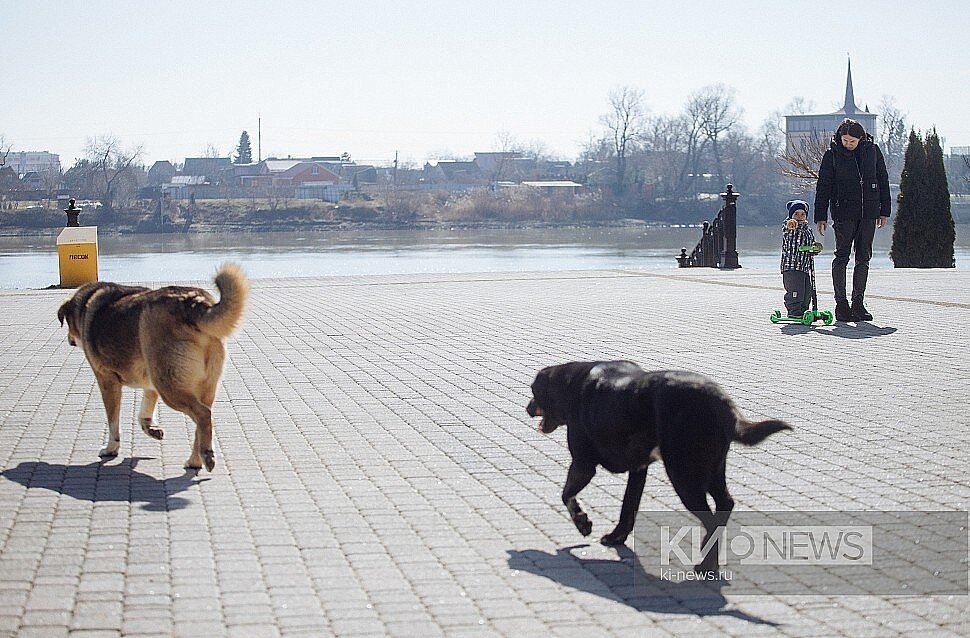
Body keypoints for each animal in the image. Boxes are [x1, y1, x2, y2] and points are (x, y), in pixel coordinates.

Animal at [56, 262, 248, 472]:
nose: (69, 339)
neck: (86, 305)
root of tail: (194, 303)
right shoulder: (150, 385)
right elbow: (144, 414)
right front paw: (152, 429)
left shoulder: (107, 381)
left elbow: (113, 421)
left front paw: (111, 448)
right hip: (198, 386)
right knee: (202, 419)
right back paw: (195, 460)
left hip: (169, 387)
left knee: (204, 415)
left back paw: (206, 455)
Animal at [524, 364, 792, 568]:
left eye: (534, 391)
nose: (527, 407)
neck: (571, 385)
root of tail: (720, 401)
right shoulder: (638, 469)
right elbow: (628, 507)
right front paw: (617, 536)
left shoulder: (583, 464)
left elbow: (566, 495)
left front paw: (582, 522)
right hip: (712, 469)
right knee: (725, 503)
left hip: (684, 475)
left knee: (711, 519)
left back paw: (706, 563)